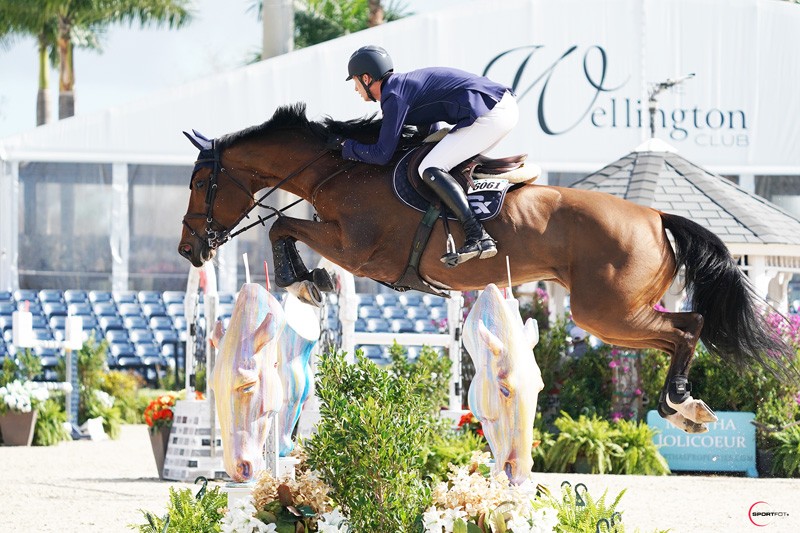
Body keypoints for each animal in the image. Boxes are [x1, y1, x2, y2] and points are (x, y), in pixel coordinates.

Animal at [179, 103, 794, 434]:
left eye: (198, 182)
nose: (189, 250)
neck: (341, 170)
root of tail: (655, 215)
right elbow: (283, 229)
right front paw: (309, 281)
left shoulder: (357, 249)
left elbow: (283, 227)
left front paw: (306, 280)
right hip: (614, 312)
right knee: (681, 331)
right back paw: (683, 407)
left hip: (606, 312)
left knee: (687, 328)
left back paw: (681, 404)